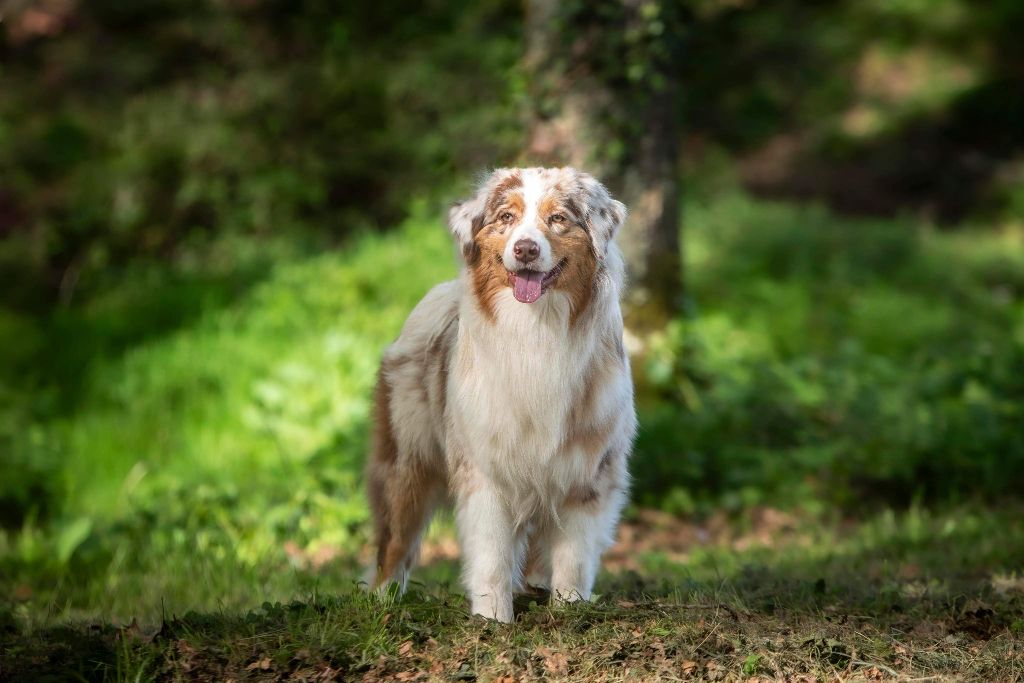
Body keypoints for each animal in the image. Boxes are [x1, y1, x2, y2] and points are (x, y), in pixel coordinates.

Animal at [366, 167, 636, 622]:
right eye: (506, 217)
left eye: (558, 219)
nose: (526, 249)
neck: (535, 330)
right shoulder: (485, 468)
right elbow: (491, 554)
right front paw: (493, 620)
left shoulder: (588, 471)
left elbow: (574, 556)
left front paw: (569, 611)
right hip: (407, 460)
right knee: (395, 540)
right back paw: (381, 602)